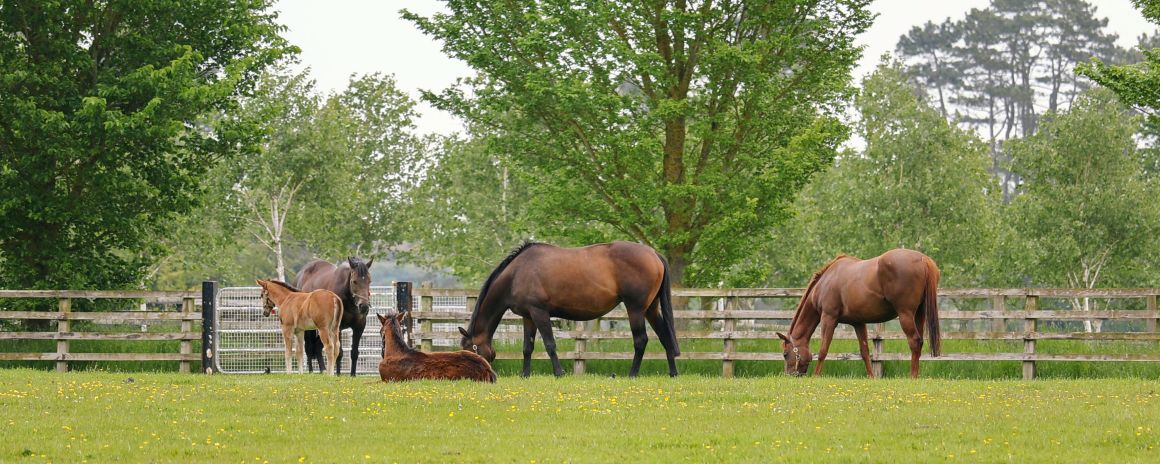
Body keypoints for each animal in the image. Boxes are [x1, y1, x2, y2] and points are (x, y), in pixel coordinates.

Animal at [459, 241, 682, 378]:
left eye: (470, 349)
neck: (517, 273)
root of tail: (653, 253)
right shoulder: (528, 317)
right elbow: (527, 347)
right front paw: (525, 375)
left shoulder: (539, 312)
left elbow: (550, 344)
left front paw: (559, 373)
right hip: (650, 309)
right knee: (664, 336)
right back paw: (672, 373)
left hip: (635, 309)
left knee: (641, 340)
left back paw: (632, 374)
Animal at [774, 250, 937, 375]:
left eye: (785, 354)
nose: (789, 375)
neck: (825, 281)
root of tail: (923, 259)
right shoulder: (858, 323)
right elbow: (864, 352)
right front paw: (871, 377)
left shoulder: (828, 318)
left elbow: (823, 350)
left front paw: (815, 377)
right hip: (919, 315)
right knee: (919, 343)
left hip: (905, 314)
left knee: (914, 341)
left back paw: (912, 377)